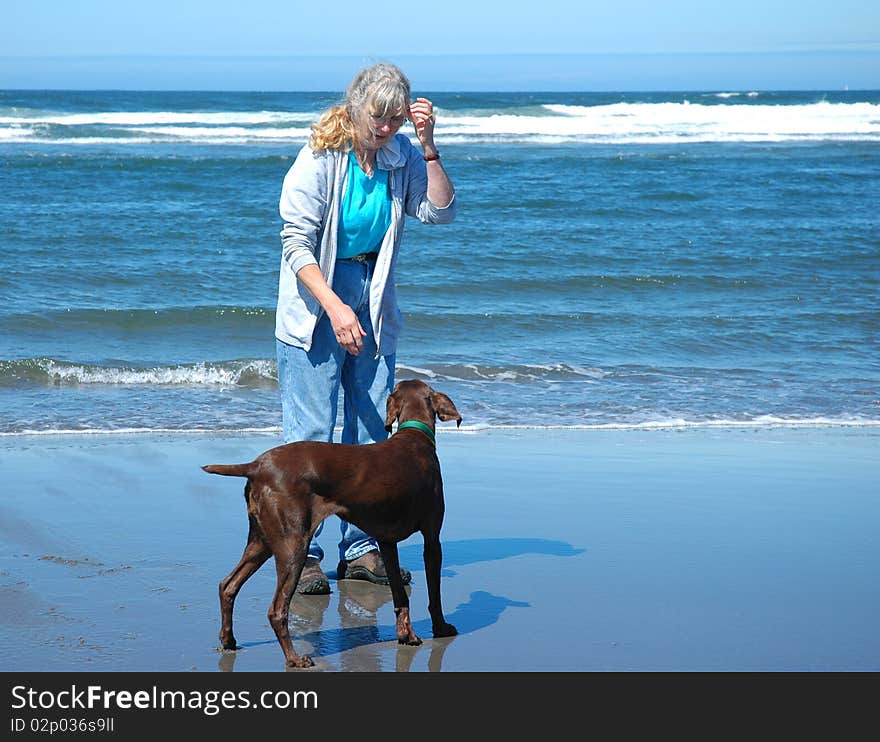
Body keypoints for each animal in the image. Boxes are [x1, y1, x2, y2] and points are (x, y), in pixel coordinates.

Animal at [200, 380, 460, 672]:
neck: (414, 435)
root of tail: (256, 466)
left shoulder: (386, 542)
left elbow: (399, 596)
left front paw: (406, 635)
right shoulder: (432, 538)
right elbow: (434, 595)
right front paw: (440, 627)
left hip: (261, 541)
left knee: (228, 585)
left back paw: (228, 640)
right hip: (293, 546)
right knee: (277, 609)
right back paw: (294, 658)